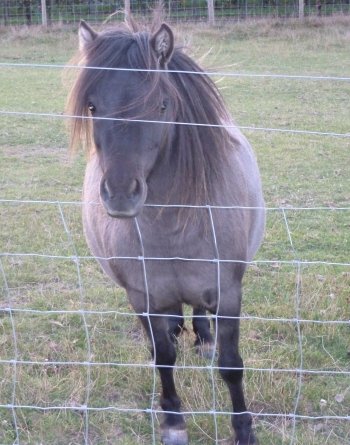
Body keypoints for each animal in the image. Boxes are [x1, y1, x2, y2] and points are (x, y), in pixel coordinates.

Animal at [67, 18, 266, 444]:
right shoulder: (142, 296)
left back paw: (203, 339)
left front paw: (243, 429)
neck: (171, 228)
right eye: (92, 106)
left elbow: (231, 364)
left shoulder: (228, 293)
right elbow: (163, 358)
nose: (120, 194)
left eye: (160, 105)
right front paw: (173, 421)